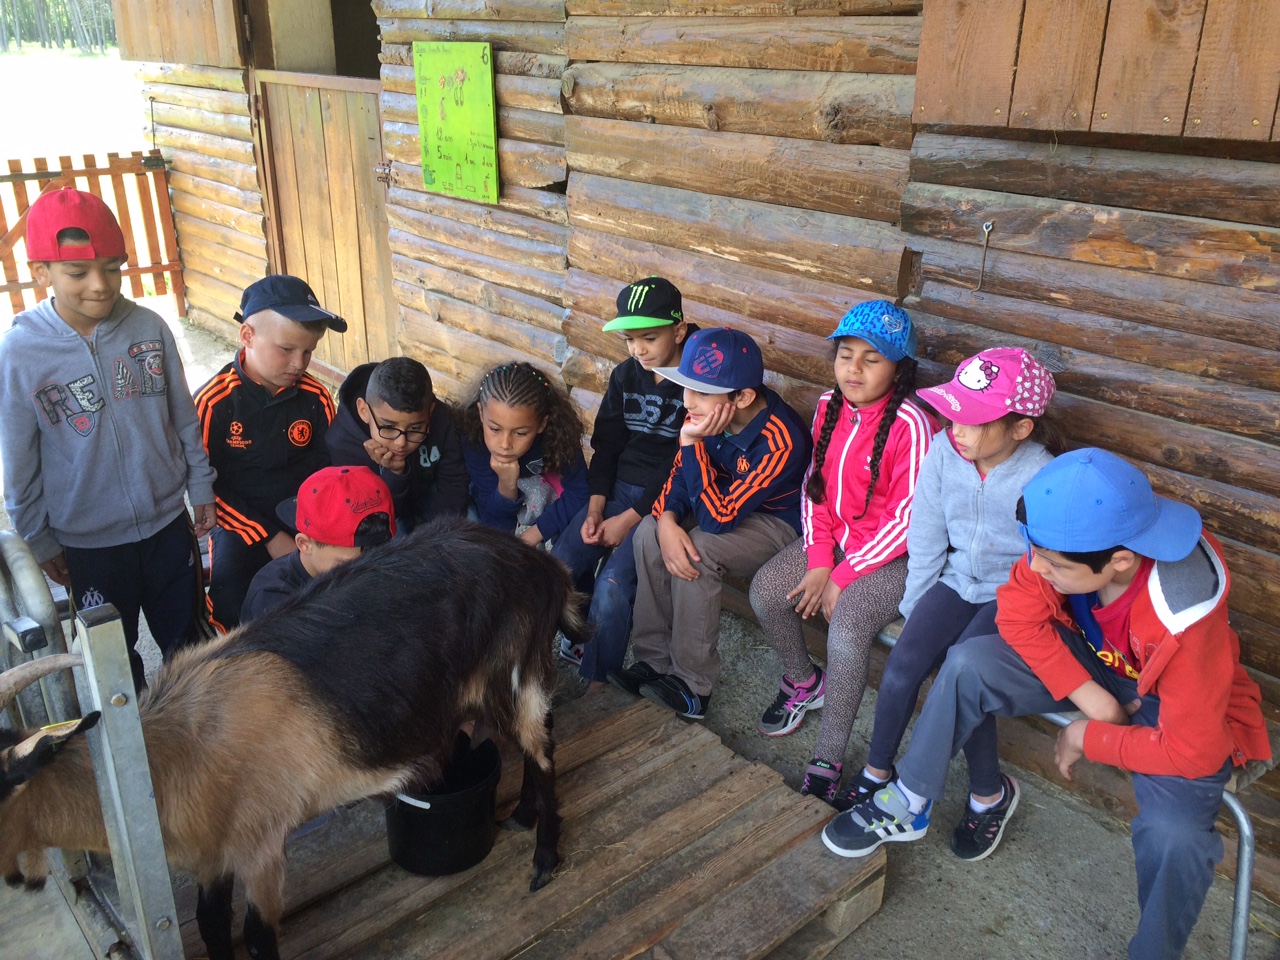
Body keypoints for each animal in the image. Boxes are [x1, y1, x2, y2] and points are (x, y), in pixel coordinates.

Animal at [0, 518, 582, 960]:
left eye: (7, 782)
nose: (15, 881)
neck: (164, 757)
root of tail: (544, 567)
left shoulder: (261, 845)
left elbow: (257, 936)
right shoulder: (215, 852)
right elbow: (211, 923)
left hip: (512, 671)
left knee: (543, 751)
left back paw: (544, 860)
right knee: (539, 737)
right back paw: (523, 815)